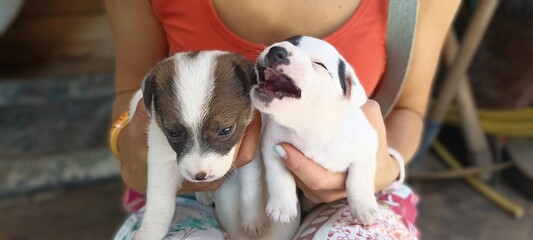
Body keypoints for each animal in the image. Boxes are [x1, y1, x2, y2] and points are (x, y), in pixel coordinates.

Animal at [131, 51, 260, 240]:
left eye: (225, 130)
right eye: (173, 132)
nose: (200, 176)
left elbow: (251, 186)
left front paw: (253, 219)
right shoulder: (160, 159)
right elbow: (160, 204)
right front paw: (149, 233)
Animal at [250, 35, 378, 225]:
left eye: (319, 65)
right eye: (290, 41)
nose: (276, 50)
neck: (309, 126)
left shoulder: (366, 146)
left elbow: (358, 178)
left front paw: (364, 208)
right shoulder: (272, 146)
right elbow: (279, 176)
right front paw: (282, 206)